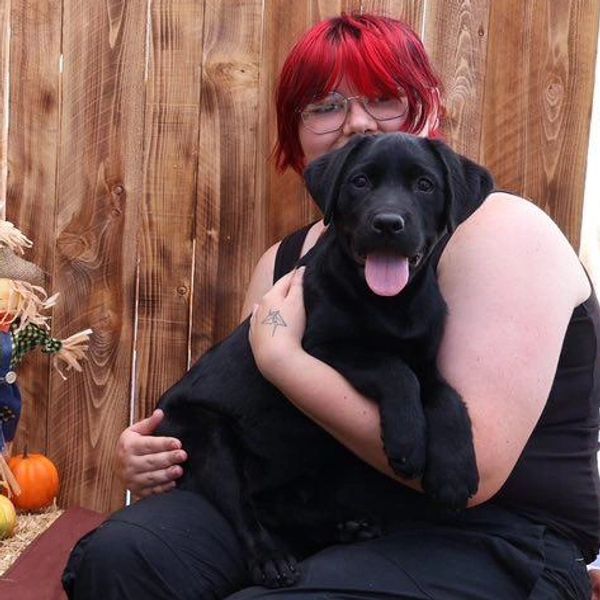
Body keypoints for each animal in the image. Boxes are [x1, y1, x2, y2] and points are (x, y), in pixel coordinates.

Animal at [156, 133, 494, 588]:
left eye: (425, 185)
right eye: (360, 181)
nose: (388, 223)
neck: (393, 305)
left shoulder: (428, 362)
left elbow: (448, 398)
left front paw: (455, 475)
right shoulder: (321, 347)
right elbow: (393, 370)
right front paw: (408, 441)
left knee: (275, 505)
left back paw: (347, 528)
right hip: (207, 436)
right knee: (242, 508)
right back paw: (272, 559)